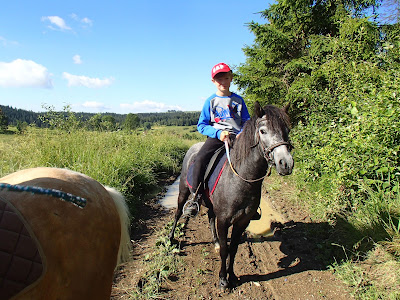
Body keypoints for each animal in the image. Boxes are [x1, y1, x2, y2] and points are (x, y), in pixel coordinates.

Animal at [169, 102, 294, 290]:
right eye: (263, 131)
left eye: (287, 129)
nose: (285, 163)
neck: (241, 179)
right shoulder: (224, 220)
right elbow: (224, 250)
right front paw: (222, 279)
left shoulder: (242, 221)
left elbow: (233, 249)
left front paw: (233, 276)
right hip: (183, 191)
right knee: (178, 213)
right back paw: (171, 238)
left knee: (210, 217)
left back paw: (214, 241)